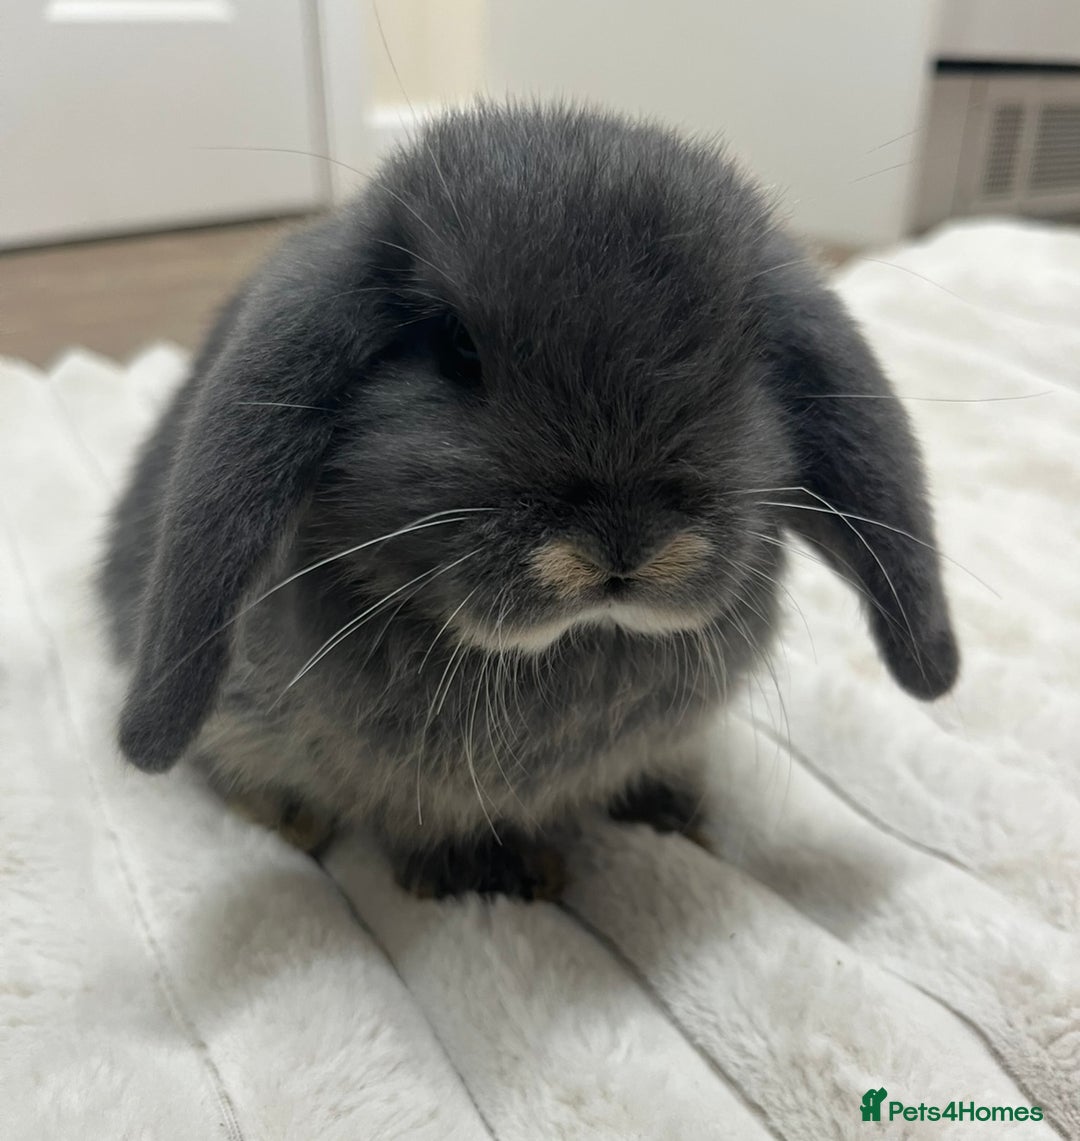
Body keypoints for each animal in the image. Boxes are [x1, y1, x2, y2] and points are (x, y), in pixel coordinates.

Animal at [100, 102, 958, 900]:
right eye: (456, 347)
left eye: (739, 359)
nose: (624, 546)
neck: (577, 646)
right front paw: (476, 875)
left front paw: (664, 808)